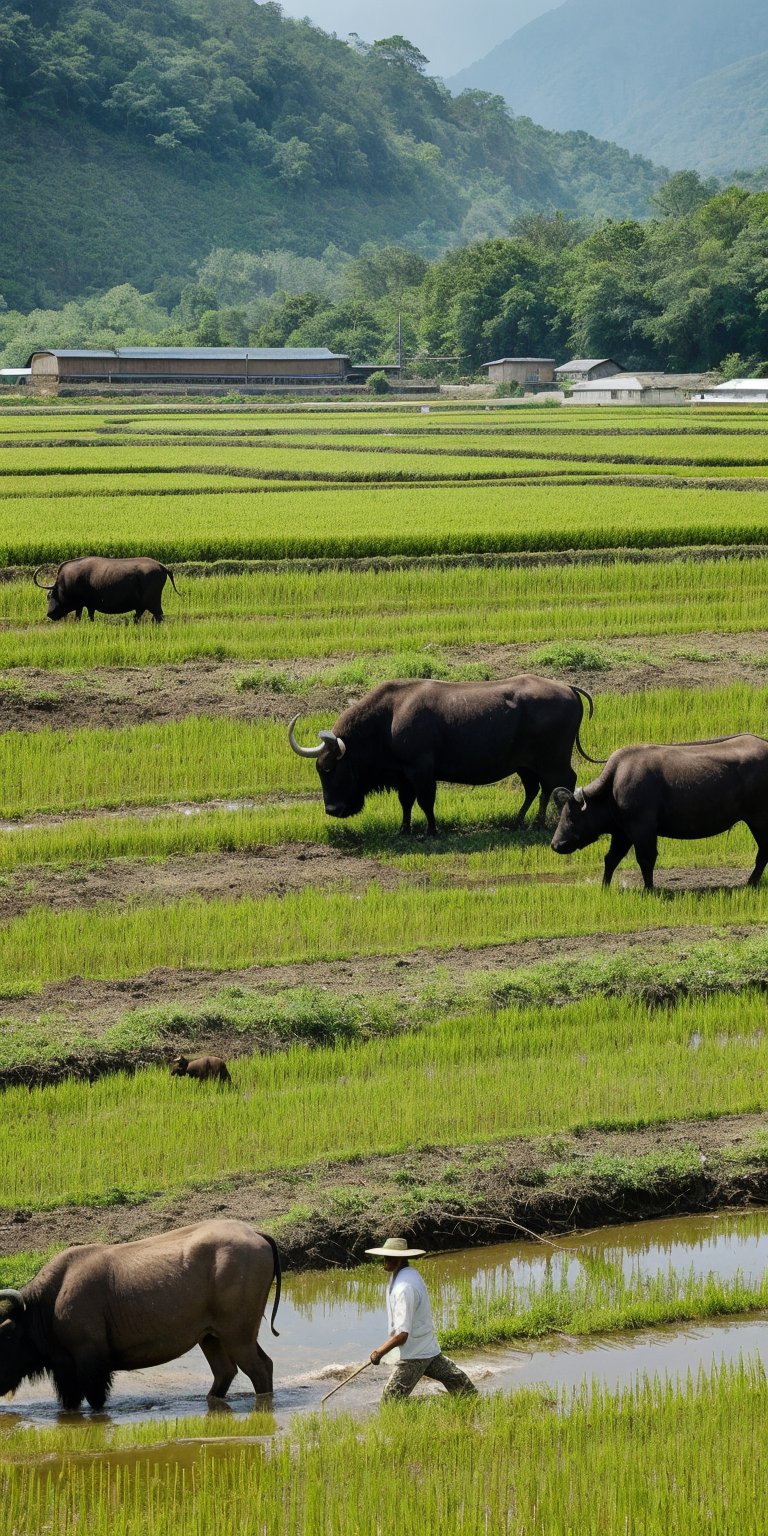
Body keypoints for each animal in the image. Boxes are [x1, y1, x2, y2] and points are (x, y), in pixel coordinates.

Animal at [0, 1220, 280, 1410]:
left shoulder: (92, 1366)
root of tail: (256, 1233)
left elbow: (96, 1402)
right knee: (227, 1371)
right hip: (212, 1337)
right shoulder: (66, 1372)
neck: (50, 1302)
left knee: (259, 1369)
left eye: (6, 1332)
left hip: (238, 1337)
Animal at [33, 556, 178, 623]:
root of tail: (161, 566)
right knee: (140, 615)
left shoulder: (83, 604)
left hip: (152, 602)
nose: (49, 614)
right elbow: (87, 616)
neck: (65, 582)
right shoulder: (88, 605)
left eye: (51, 596)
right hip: (144, 604)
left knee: (158, 616)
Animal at [288, 675, 600, 835]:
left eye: (331, 768)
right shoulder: (403, 776)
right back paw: (522, 822)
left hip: (552, 762)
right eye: (319, 769)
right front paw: (404, 830)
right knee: (537, 789)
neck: (389, 717)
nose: (332, 810)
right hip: (526, 765)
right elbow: (406, 803)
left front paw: (431, 831)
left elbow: (426, 802)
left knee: (562, 784)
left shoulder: (421, 771)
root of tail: (568, 688)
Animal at [551, 734, 768, 890]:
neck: (613, 784)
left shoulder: (642, 830)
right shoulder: (622, 833)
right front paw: (605, 887)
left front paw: (649, 889)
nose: (556, 844)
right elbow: (611, 858)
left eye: (571, 816)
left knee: (763, 852)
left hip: (759, 821)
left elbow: (646, 859)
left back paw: (750, 883)